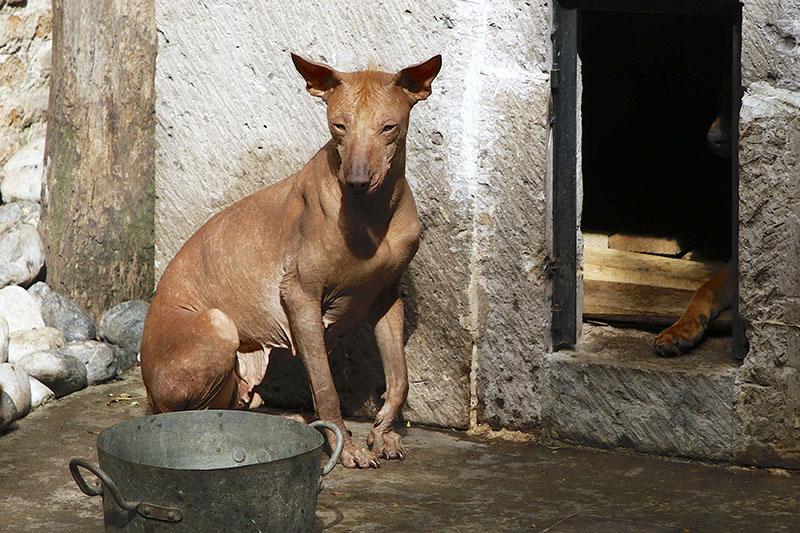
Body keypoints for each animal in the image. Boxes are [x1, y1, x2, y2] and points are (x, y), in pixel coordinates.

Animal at [144, 54, 444, 468]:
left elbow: (399, 378)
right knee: (196, 417)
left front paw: (382, 433)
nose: (355, 180)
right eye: (338, 125)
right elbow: (326, 387)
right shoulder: (300, 297)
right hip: (218, 325)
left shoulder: (386, 296)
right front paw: (346, 447)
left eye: (388, 128)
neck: (372, 212)